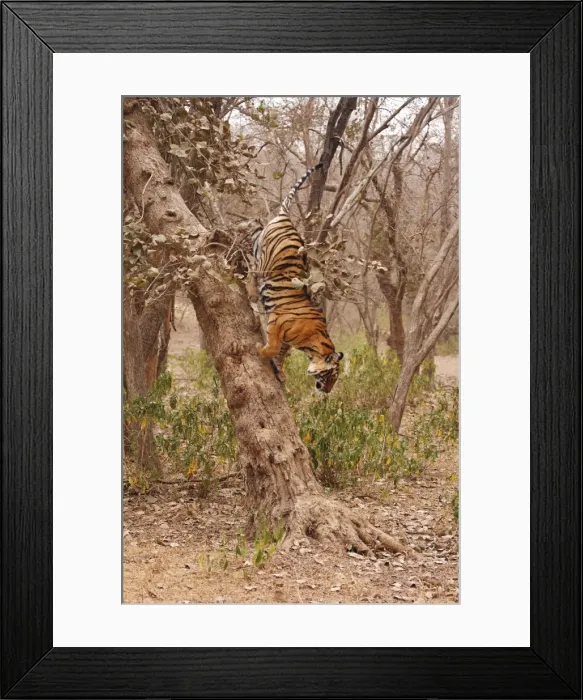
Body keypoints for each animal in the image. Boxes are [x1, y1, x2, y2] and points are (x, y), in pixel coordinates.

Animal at [250, 163, 344, 393]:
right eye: (331, 376)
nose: (327, 391)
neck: (313, 345)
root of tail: (287, 218)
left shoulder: (286, 340)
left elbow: (281, 353)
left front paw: (280, 373)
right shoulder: (276, 322)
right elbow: (272, 347)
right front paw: (260, 349)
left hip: (258, 244)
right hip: (263, 263)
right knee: (251, 272)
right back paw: (251, 291)